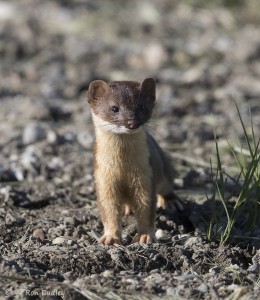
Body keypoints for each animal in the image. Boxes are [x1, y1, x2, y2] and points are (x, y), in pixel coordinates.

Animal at [87, 78, 179, 245]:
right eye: (114, 108)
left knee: (167, 184)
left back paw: (171, 201)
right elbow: (108, 210)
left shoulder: (146, 176)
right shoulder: (102, 178)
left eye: (141, 106)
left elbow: (146, 208)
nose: (132, 122)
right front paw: (110, 238)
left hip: (163, 167)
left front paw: (145, 236)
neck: (123, 167)